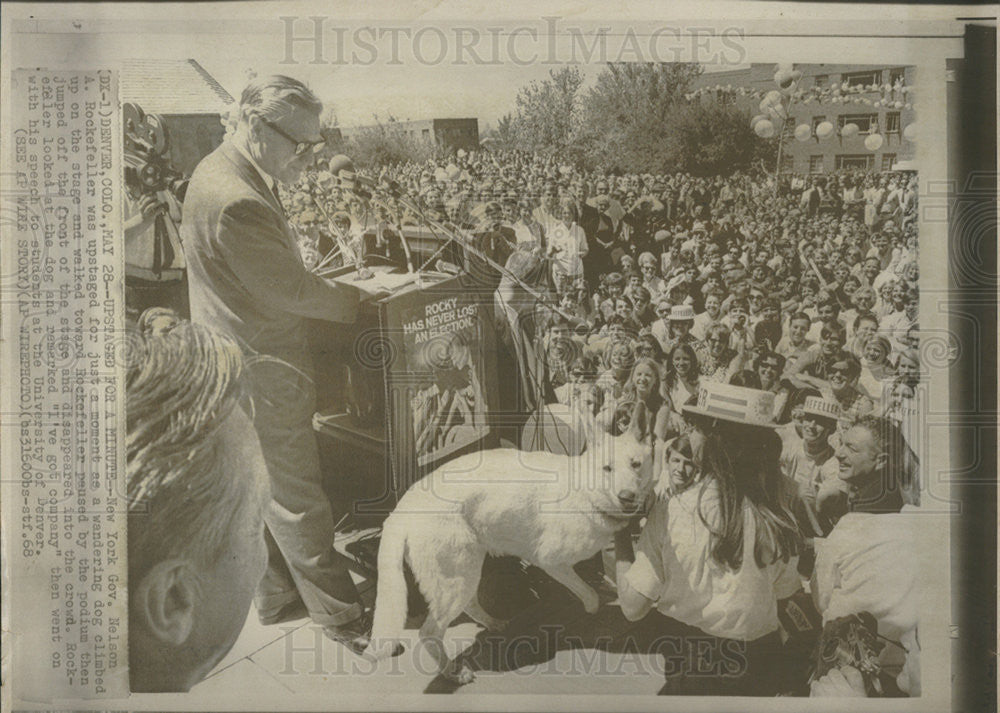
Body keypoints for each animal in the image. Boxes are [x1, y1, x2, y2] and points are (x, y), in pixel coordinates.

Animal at [366, 432, 656, 680]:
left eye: (636, 465)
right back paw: (452, 673)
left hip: (467, 571)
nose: (627, 497)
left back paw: (493, 624)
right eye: (607, 469)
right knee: (429, 632)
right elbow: (591, 595)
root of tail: (398, 513)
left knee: (470, 605)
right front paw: (592, 609)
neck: (586, 493)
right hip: (457, 579)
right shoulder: (550, 561)